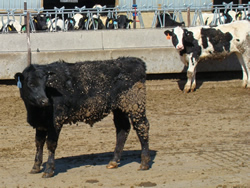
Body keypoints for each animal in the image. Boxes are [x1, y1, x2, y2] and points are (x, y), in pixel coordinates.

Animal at [14, 57, 150, 178]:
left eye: (45, 84)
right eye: (31, 84)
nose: (45, 101)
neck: (35, 111)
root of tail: (135, 60)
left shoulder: (55, 122)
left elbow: (51, 144)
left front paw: (48, 170)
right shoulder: (40, 124)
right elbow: (39, 143)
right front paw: (35, 167)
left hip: (135, 104)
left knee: (142, 127)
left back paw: (144, 163)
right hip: (119, 108)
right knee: (122, 129)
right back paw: (113, 161)